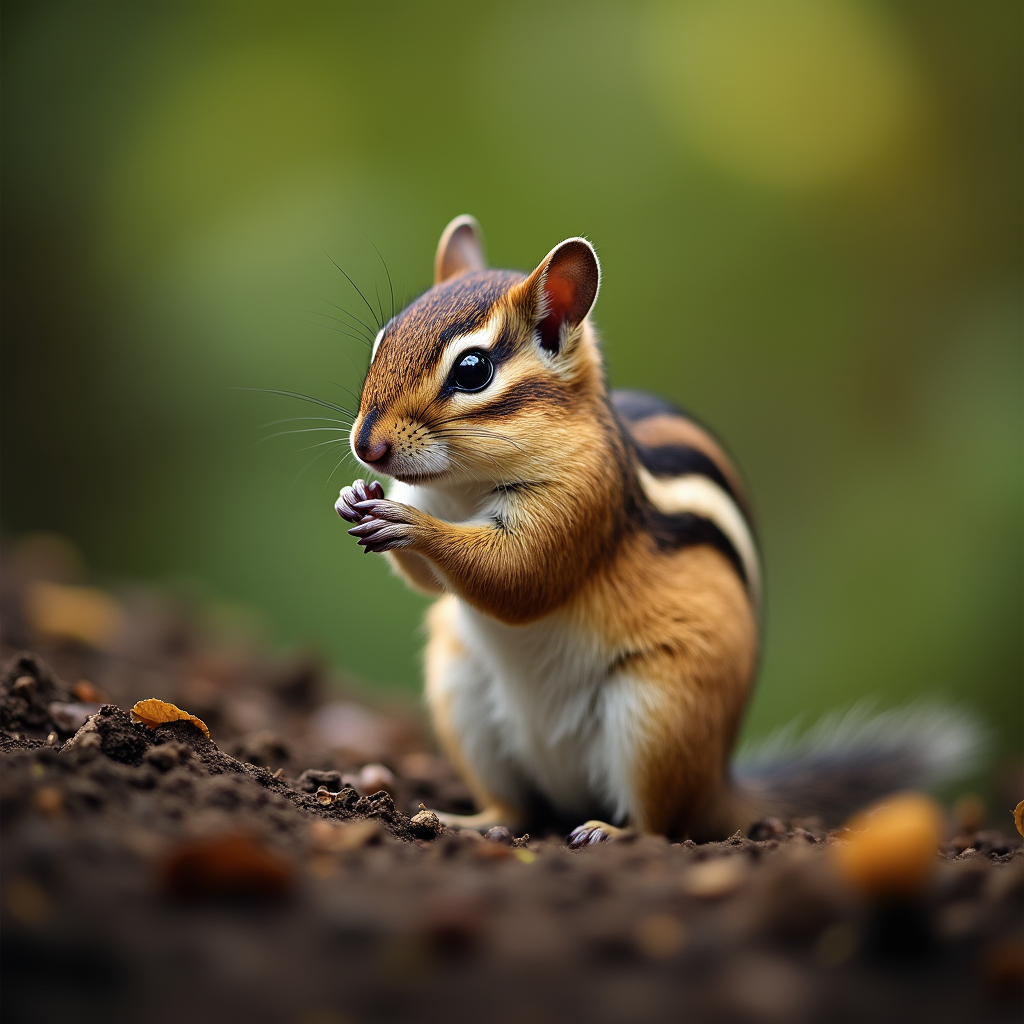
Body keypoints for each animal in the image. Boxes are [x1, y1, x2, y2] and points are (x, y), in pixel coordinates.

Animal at [334, 215, 977, 845]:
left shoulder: (585, 500)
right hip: (461, 686)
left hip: (660, 711)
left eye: (473, 371)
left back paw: (607, 832)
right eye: (383, 338)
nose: (367, 446)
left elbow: (520, 576)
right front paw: (356, 499)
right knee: (517, 809)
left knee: (659, 824)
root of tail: (718, 782)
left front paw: (412, 525)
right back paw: (465, 820)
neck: (461, 486)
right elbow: (433, 582)